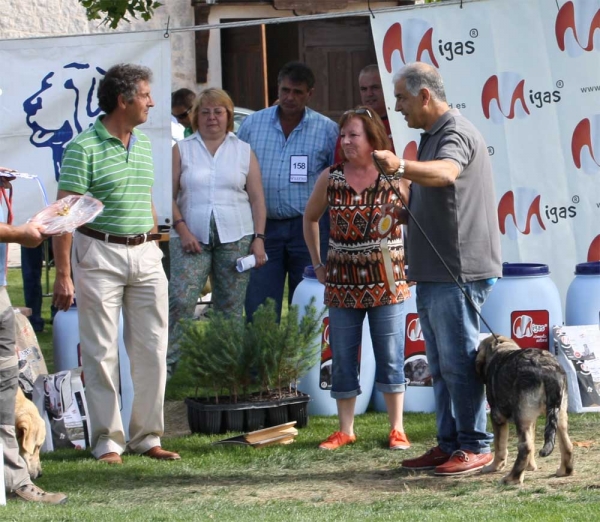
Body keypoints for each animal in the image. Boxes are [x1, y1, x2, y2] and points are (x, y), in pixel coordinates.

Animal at [476, 334, 576, 484]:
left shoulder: (497, 417)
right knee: (567, 445)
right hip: (558, 414)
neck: (501, 347)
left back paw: (512, 479)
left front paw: (493, 467)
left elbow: (499, 447)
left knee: (525, 447)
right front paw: (531, 467)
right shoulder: (532, 420)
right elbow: (533, 443)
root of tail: (548, 370)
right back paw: (565, 471)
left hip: (522, 418)